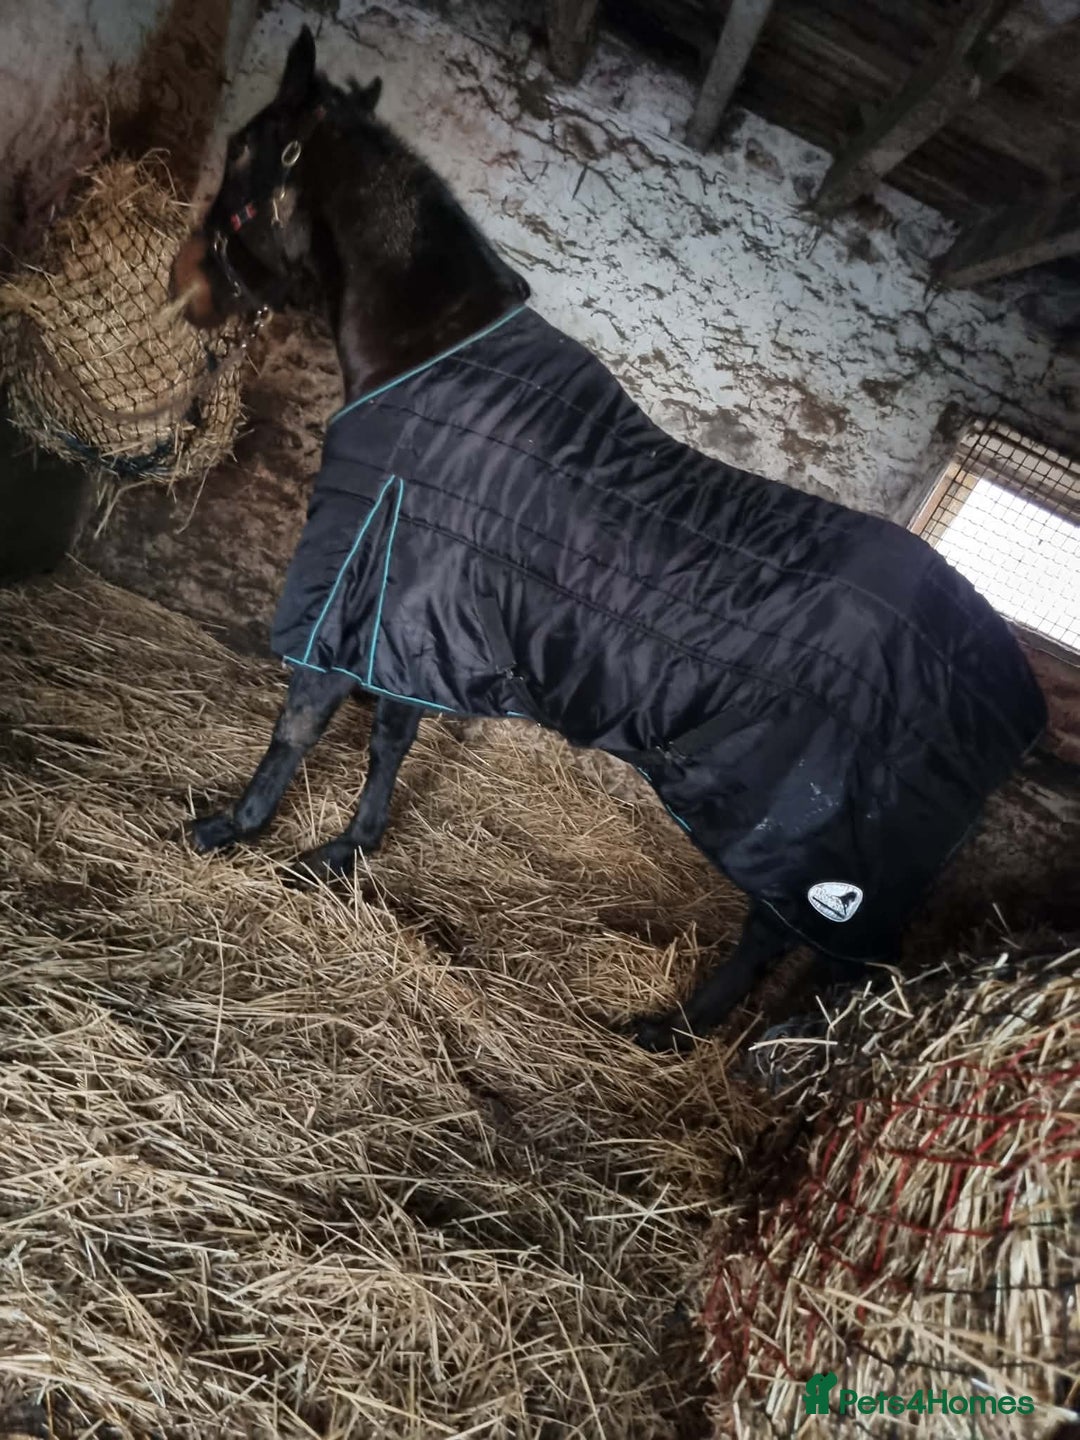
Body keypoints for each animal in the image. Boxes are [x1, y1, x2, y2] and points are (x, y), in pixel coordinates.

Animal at [170, 27, 1049, 1052]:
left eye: (245, 148)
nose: (187, 287)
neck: (429, 354)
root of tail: (1012, 697)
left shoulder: (358, 575)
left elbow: (302, 720)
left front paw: (231, 827)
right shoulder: (413, 610)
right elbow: (390, 735)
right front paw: (344, 850)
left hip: (818, 849)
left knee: (803, 948)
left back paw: (716, 1041)